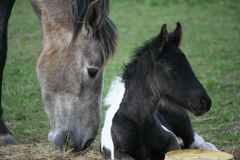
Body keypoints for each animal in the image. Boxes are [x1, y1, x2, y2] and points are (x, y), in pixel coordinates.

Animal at [100, 23, 217, 159]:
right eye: (171, 69)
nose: (205, 102)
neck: (139, 122)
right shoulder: (119, 153)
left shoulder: (171, 140)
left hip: (181, 119)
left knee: (192, 141)